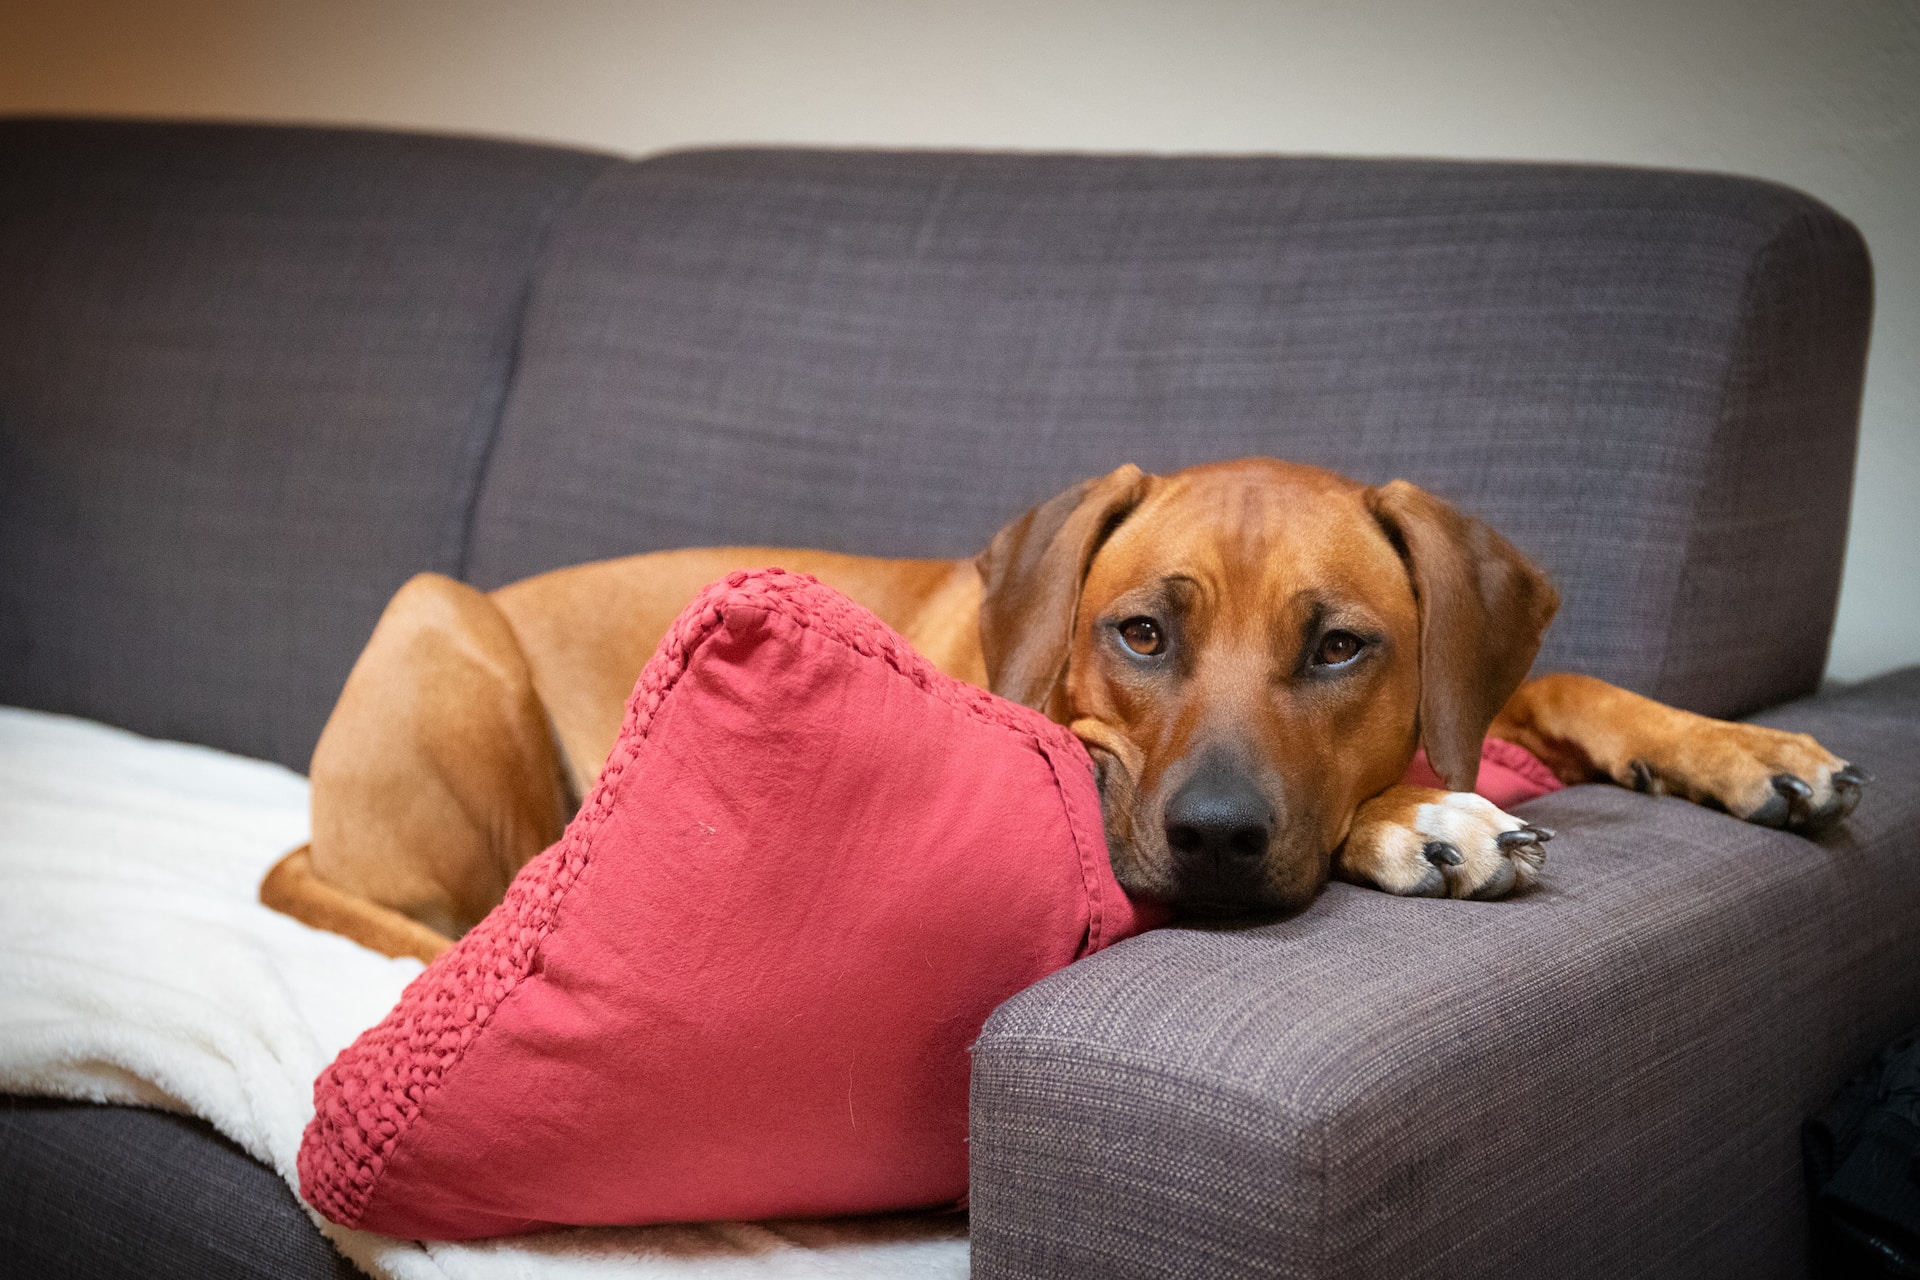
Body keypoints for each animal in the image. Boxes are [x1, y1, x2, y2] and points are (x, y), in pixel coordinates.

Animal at [263, 460, 1866, 959]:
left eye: (1341, 649)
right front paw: (1423, 816)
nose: (1215, 841)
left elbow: (1561, 678)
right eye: (1140, 632)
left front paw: (1747, 750)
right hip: (441, 620)